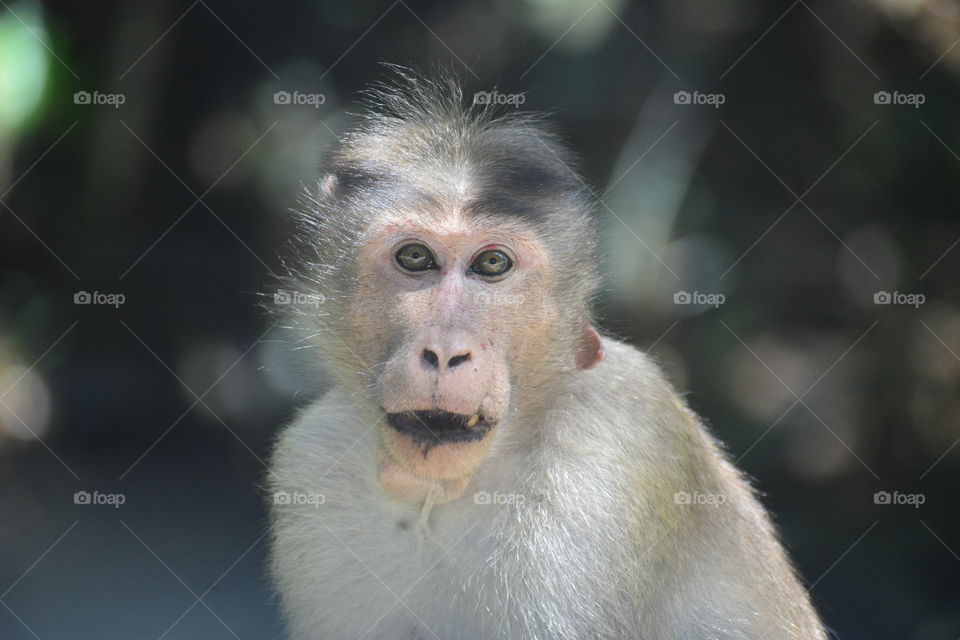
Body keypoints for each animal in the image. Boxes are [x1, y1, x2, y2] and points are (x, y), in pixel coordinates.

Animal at [267, 71, 827, 640]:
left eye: (492, 263)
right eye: (416, 257)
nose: (446, 350)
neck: (445, 491)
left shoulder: (610, 454)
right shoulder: (312, 458)